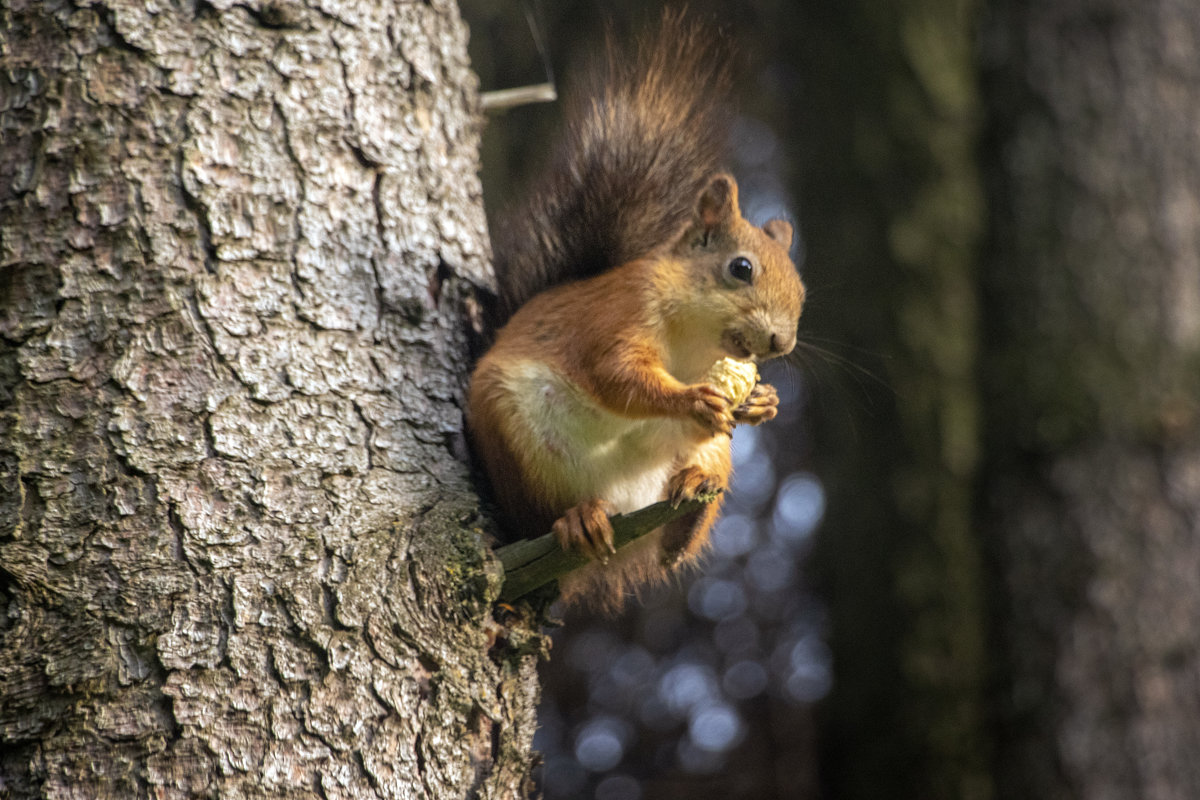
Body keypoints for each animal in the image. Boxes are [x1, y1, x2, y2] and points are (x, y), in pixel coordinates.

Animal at [468, 9, 806, 614]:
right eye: (741, 268)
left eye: (801, 289)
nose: (780, 344)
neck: (697, 342)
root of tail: (625, 511)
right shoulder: (619, 314)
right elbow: (616, 373)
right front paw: (693, 399)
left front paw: (762, 401)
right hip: (518, 441)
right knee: (540, 522)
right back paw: (577, 520)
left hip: (715, 455)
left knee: (675, 544)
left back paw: (692, 500)